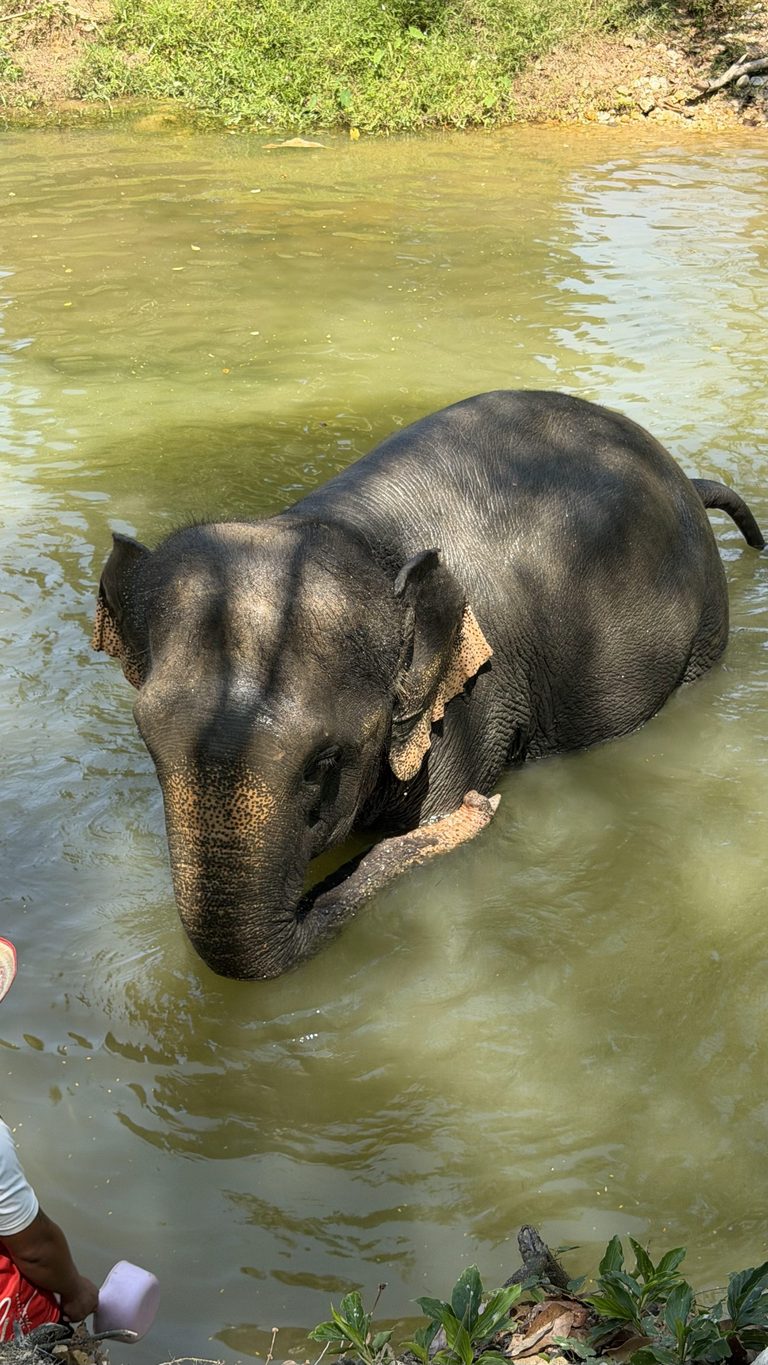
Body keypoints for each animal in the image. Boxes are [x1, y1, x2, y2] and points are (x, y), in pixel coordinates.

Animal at [92, 390, 765, 980]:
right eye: (147, 741)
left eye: (324, 762)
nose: (482, 806)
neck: (355, 536)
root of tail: (681, 474)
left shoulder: (472, 708)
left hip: (705, 624)